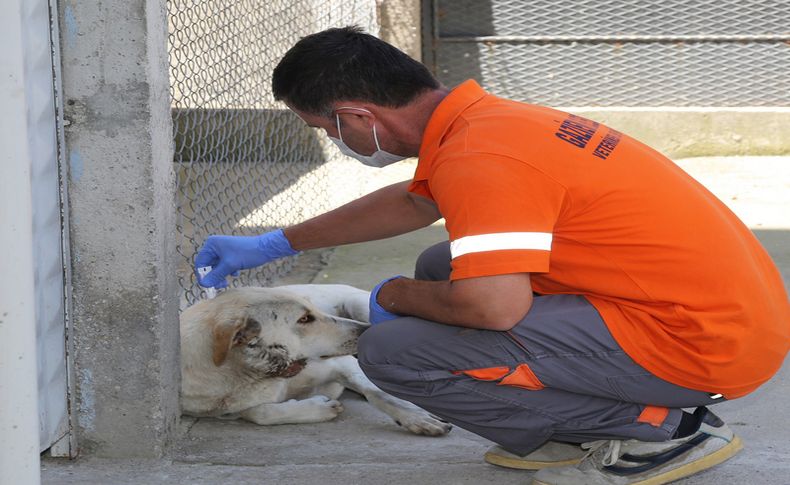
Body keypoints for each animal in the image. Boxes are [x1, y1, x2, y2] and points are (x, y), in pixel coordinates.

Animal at [179, 282, 452, 436]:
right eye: (305, 319)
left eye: (311, 312)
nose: (366, 331)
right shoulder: (218, 409)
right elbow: (259, 413)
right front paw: (319, 407)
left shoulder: (342, 363)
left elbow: (379, 393)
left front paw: (414, 416)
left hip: (358, 305)